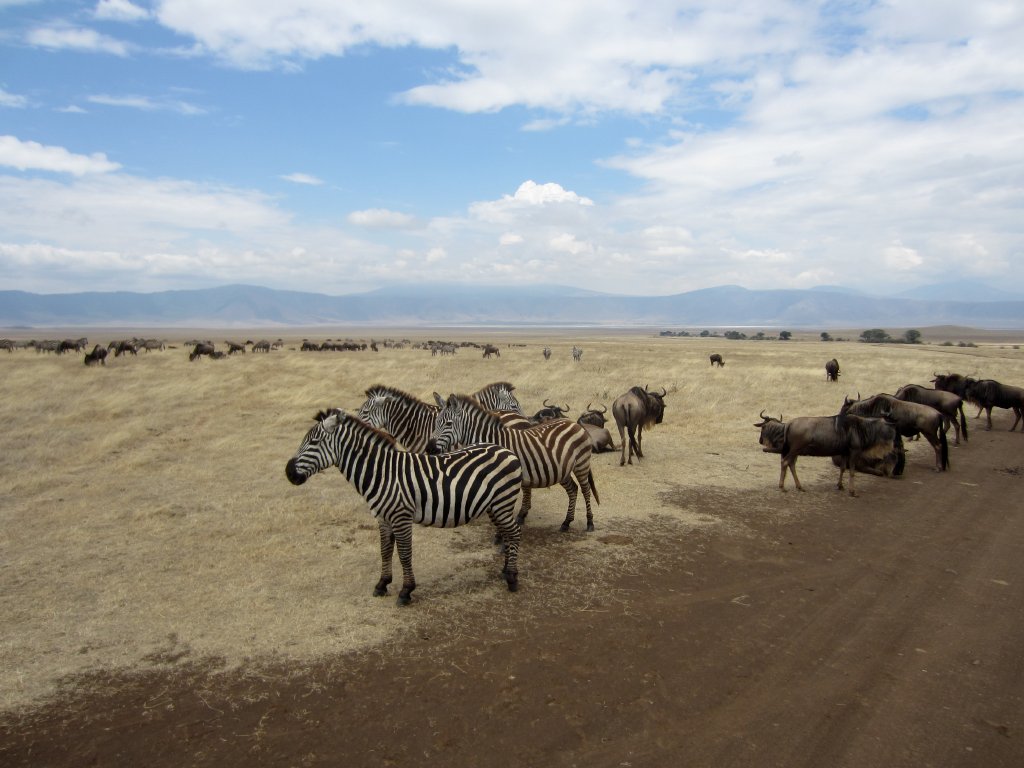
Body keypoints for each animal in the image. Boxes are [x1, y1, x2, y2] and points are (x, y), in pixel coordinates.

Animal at [285, 409, 524, 605]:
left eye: (314, 442)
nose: (288, 473)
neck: (382, 473)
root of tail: (506, 450)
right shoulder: (382, 517)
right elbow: (385, 550)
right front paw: (382, 584)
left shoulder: (401, 516)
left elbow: (404, 553)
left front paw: (406, 591)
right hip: (494, 506)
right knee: (507, 533)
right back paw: (505, 571)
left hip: (503, 502)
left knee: (514, 533)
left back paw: (512, 578)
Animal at [427, 394, 599, 534]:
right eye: (436, 422)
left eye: (448, 424)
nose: (430, 448)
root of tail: (574, 423)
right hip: (562, 470)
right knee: (573, 490)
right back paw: (566, 523)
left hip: (581, 464)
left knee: (585, 490)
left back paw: (590, 522)